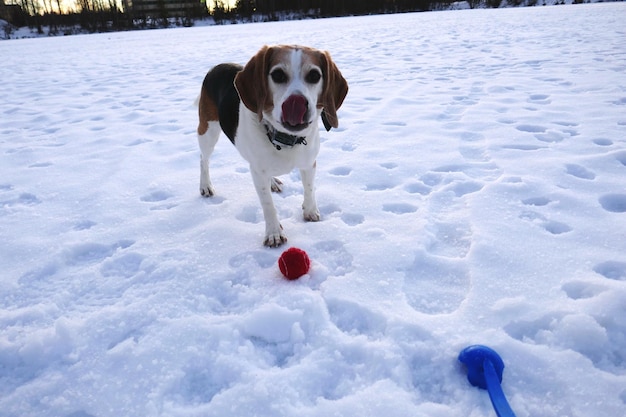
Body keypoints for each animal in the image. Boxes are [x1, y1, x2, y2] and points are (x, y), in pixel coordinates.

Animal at [196, 45, 346, 247]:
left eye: (314, 75)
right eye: (278, 75)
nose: (297, 102)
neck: (285, 139)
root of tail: (217, 66)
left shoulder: (309, 163)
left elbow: (309, 187)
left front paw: (310, 211)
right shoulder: (258, 172)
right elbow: (267, 204)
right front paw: (274, 232)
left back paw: (273, 182)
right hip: (208, 132)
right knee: (203, 159)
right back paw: (205, 186)